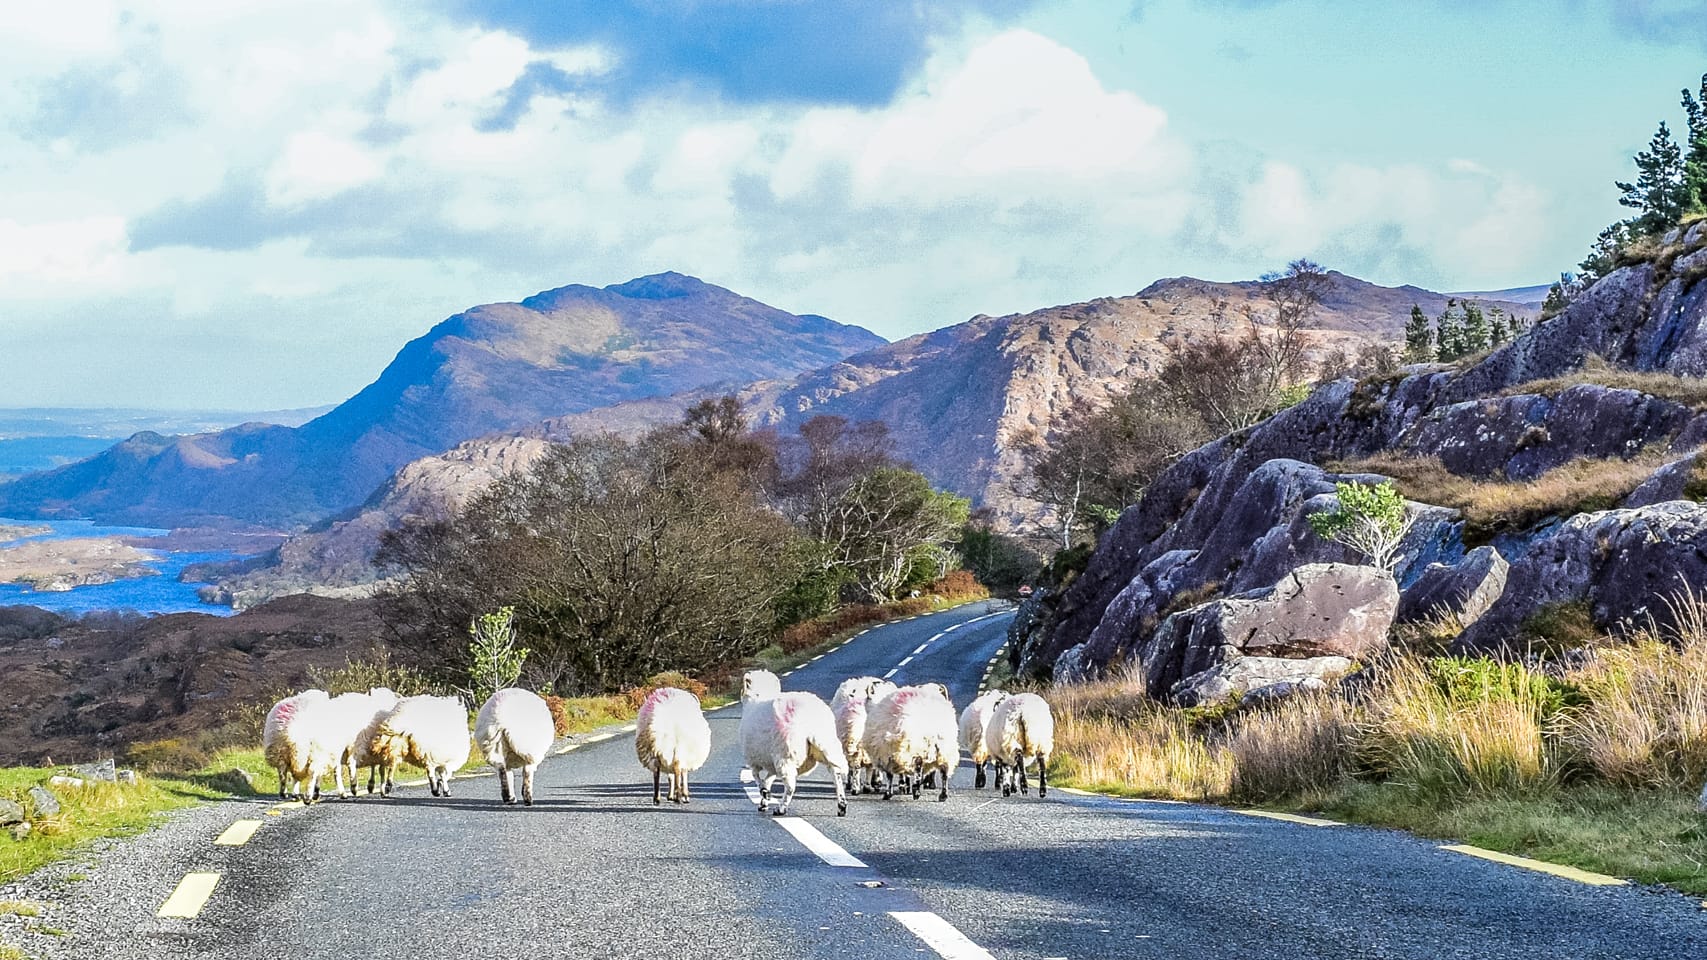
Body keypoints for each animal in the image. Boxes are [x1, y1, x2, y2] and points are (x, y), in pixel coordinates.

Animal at [740, 666, 846, 813]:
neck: (759, 696)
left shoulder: (754, 760)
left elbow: (757, 778)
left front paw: (764, 794)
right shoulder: (770, 761)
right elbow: (768, 780)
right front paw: (764, 800)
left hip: (786, 754)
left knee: (790, 785)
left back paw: (781, 808)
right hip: (826, 745)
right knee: (836, 774)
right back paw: (842, 805)